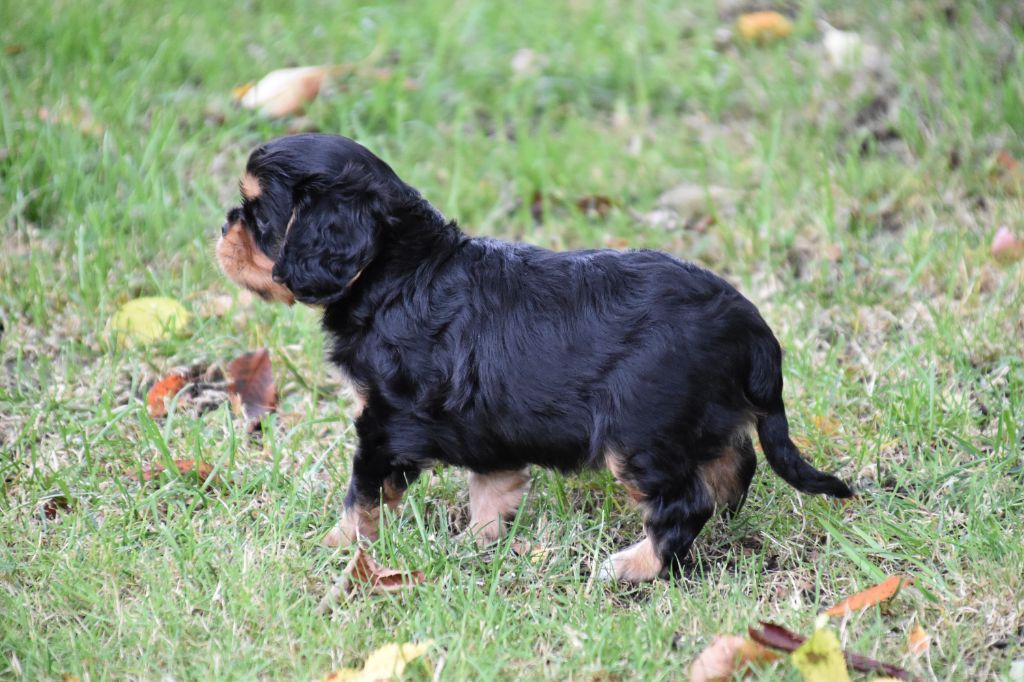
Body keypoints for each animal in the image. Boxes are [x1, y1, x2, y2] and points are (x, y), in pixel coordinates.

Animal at [214, 133, 847, 577]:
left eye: (258, 214)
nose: (221, 226)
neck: (400, 272)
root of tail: (755, 331)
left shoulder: (385, 424)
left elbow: (362, 495)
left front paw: (336, 545)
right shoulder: (488, 425)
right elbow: (491, 489)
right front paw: (475, 545)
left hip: (638, 434)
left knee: (684, 504)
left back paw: (632, 566)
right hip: (696, 422)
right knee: (732, 466)